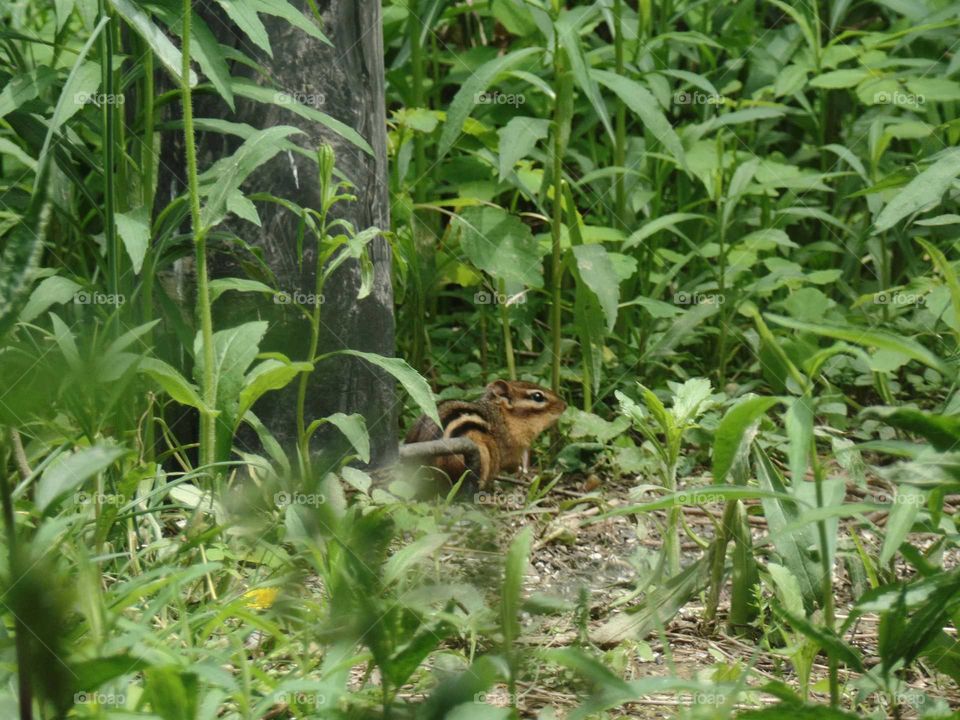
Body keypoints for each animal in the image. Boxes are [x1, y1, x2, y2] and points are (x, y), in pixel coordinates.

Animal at [404, 379, 566, 491]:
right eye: (538, 396)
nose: (564, 405)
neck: (503, 416)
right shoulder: (511, 447)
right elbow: (512, 463)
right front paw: (523, 473)